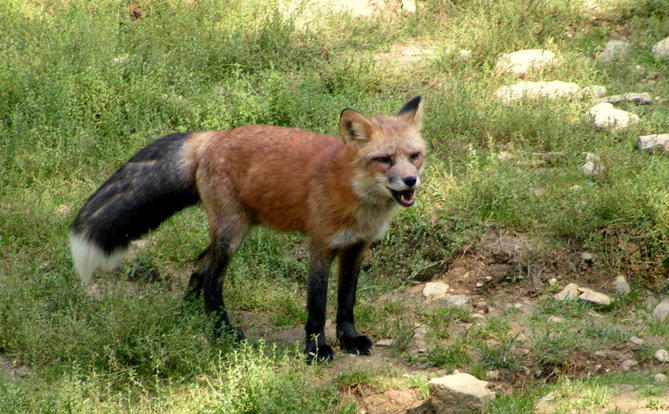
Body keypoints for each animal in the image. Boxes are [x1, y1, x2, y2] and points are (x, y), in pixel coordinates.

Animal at [70, 96, 426, 362]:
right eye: (383, 159)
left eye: (414, 156)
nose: (410, 181)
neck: (355, 195)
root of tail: (211, 136)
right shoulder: (321, 245)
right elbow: (317, 304)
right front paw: (316, 349)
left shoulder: (356, 247)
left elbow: (347, 301)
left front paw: (349, 339)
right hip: (232, 235)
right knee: (212, 280)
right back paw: (223, 332)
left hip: (231, 231)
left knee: (199, 265)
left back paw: (189, 316)